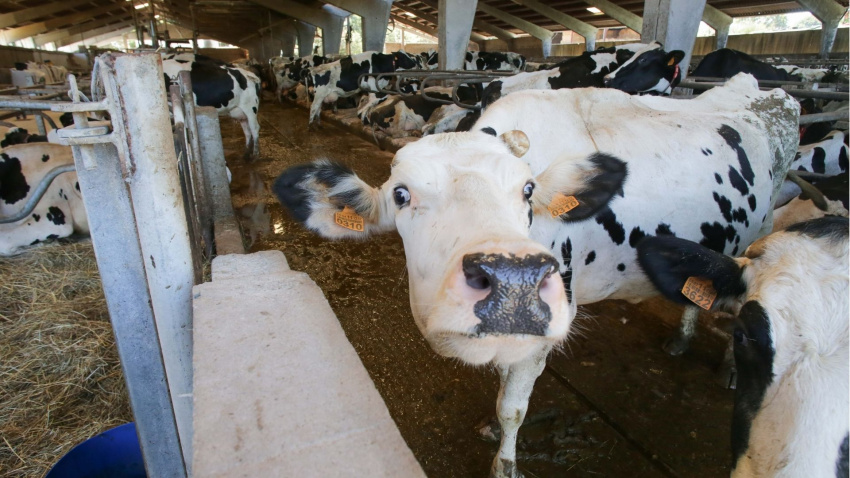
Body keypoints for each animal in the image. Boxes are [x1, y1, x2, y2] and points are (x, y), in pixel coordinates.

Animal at [271, 73, 798, 477]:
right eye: (401, 195)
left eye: (527, 190)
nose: (512, 279)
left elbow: (513, 406)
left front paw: (504, 463)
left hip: (763, 230)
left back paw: (732, 366)